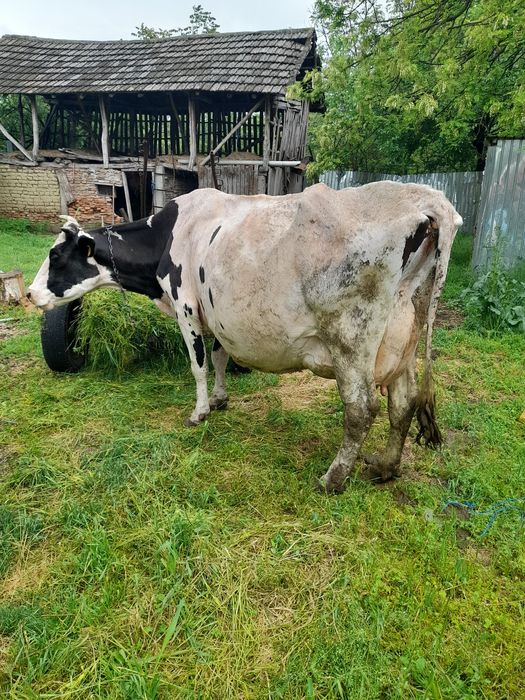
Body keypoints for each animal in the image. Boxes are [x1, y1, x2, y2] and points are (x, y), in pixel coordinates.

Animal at [28, 181, 462, 493]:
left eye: (56, 256)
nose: (30, 294)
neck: (169, 234)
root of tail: (426, 199)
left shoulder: (186, 306)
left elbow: (198, 365)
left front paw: (200, 411)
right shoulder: (217, 312)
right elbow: (220, 357)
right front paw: (221, 399)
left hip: (351, 342)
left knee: (361, 409)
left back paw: (333, 479)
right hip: (403, 339)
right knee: (403, 403)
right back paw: (385, 467)